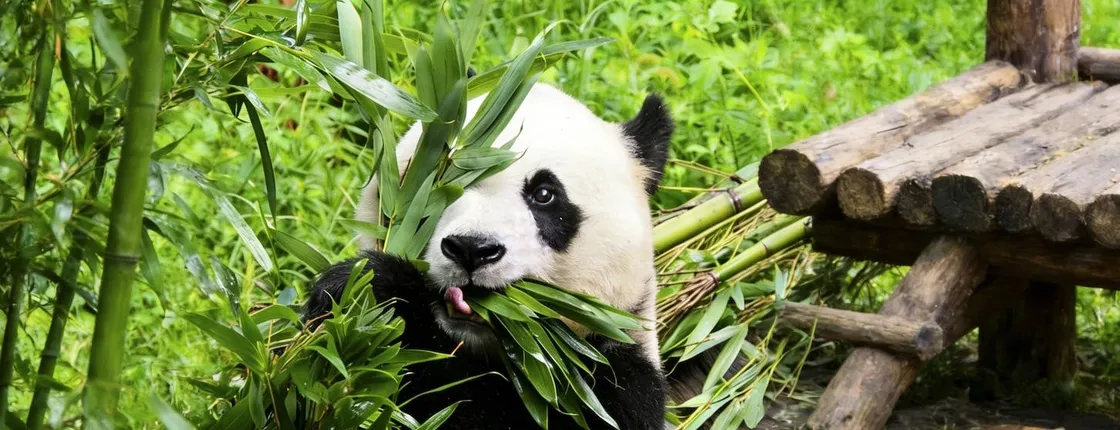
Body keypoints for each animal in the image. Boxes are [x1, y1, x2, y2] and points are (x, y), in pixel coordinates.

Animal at [304, 83, 674, 429]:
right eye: (446, 180)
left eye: (544, 194)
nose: (471, 248)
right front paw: (352, 293)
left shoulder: (609, 379)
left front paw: (387, 291)